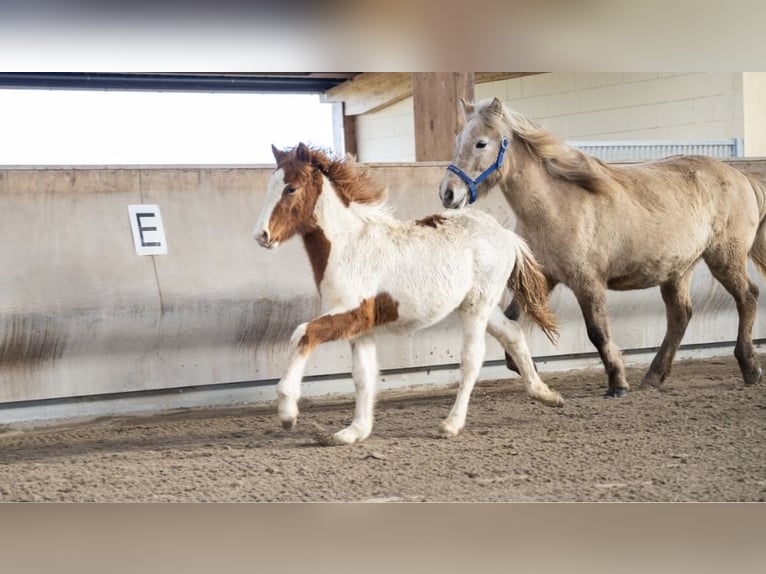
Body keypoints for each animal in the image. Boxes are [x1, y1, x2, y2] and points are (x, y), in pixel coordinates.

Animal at [253, 142, 563, 445]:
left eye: (290, 188)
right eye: (269, 185)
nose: (261, 235)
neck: (349, 245)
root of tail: (505, 234)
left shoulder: (351, 313)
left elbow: (302, 333)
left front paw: (288, 413)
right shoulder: (361, 326)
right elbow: (363, 375)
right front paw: (354, 431)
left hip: (477, 307)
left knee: (472, 357)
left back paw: (451, 424)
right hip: (481, 305)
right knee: (512, 332)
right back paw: (546, 394)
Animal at [439, 97, 766, 397]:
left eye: (481, 143)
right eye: (457, 140)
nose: (447, 193)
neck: (556, 205)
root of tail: (742, 177)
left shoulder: (587, 282)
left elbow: (597, 332)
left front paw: (617, 384)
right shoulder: (544, 277)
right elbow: (512, 322)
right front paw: (524, 370)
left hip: (724, 258)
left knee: (747, 297)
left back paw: (750, 368)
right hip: (678, 269)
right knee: (680, 316)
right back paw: (653, 377)